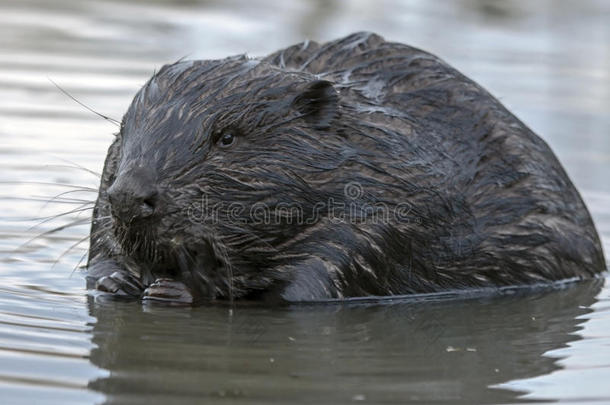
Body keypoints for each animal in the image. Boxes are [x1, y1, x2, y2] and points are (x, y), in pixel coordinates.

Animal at [84, 32, 604, 304]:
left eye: (226, 137)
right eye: (124, 130)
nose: (131, 196)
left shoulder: (388, 214)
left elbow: (308, 285)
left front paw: (177, 289)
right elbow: (100, 247)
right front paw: (116, 280)